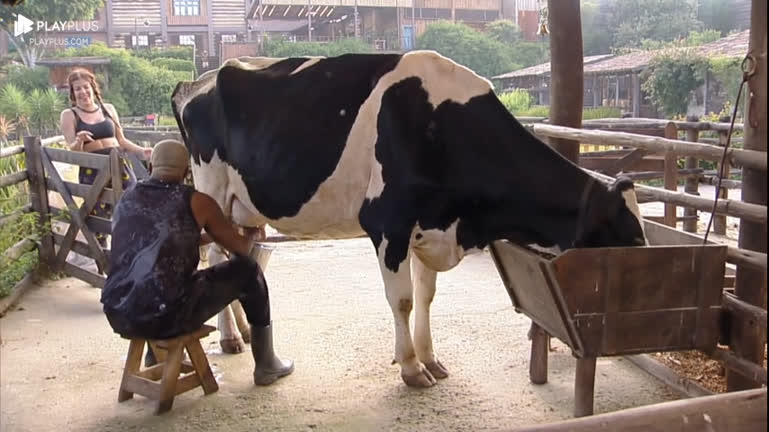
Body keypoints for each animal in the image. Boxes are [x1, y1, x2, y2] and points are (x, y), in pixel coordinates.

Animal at [171, 50, 644, 388]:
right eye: (625, 234)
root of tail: (198, 80)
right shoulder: (389, 224)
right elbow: (402, 299)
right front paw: (412, 368)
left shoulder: (429, 228)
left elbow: (427, 296)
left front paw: (431, 358)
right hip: (212, 189)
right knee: (217, 256)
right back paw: (231, 337)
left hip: (244, 205)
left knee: (240, 251)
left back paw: (243, 332)